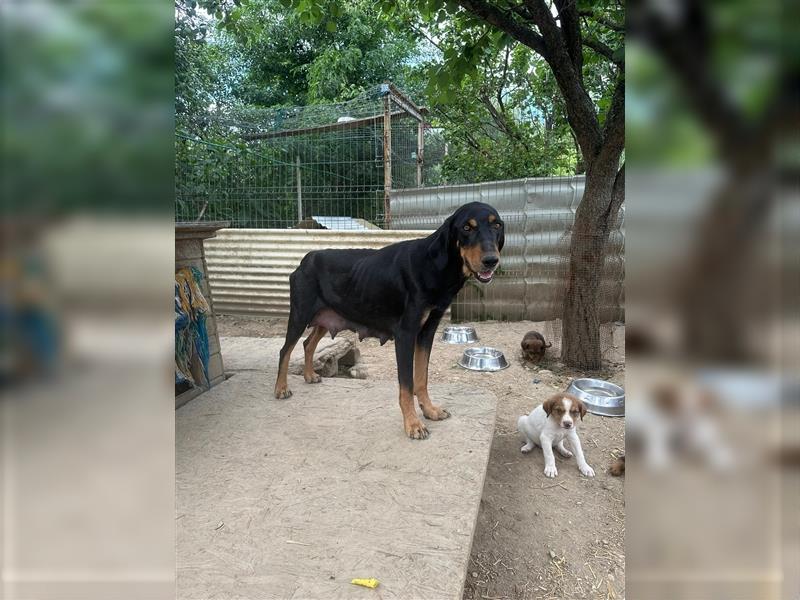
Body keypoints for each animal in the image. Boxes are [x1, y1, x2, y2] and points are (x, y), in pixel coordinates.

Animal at [272, 200, 504, 436]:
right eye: (467, 228)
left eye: (497, 225)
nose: (491, 261)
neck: (433, 265)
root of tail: (306, 259)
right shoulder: (405, 334)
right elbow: (407, 385)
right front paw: (413, 423)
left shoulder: (427, 333)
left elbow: (422, 378)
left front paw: (429, 410)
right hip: (300, 315)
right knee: (285, 350)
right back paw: (281, 388)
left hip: (326, 316)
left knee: (308, 343)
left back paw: (309, 375)